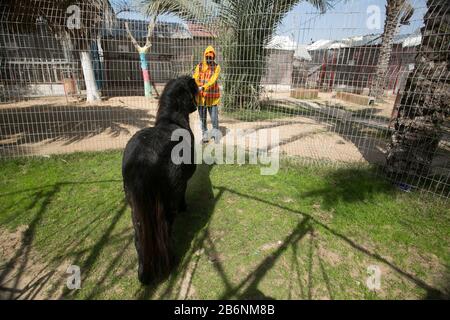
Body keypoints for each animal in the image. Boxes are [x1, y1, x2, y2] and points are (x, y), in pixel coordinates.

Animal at [121, 75, 197, 284]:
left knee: (139, 238)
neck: (171, 120)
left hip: (135, 207)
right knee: (165, 230)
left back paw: (144, 274)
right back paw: (171, 261)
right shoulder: (183, 183)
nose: (197, 106)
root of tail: (143, 158)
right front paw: (185, 207)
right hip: (167, 203)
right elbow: (184, 194)